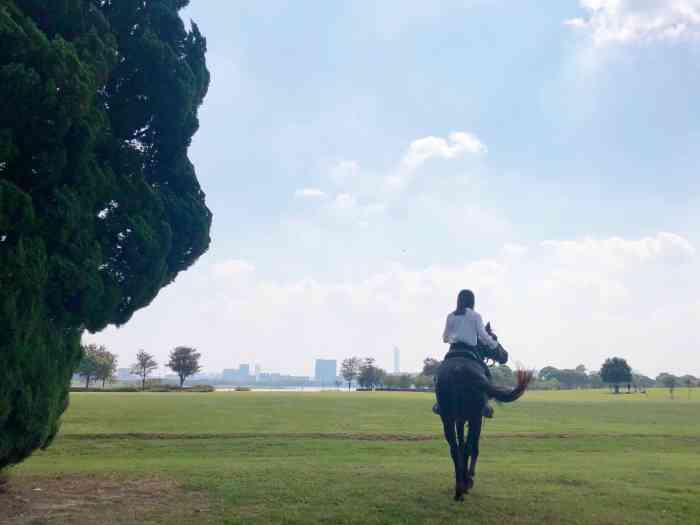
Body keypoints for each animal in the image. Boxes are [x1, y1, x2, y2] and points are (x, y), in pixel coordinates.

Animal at [434, 326, 532, 502]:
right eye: (494, 337)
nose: (505, 354)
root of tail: (458, 371)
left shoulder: (460, 419)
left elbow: (461, 445)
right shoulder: (475, 418)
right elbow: (473, 447)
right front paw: (469, 479)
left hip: (447, 418)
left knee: (455, 449)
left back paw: (459, 488)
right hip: (476, 417)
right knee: (470, 447)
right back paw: (464, 486)